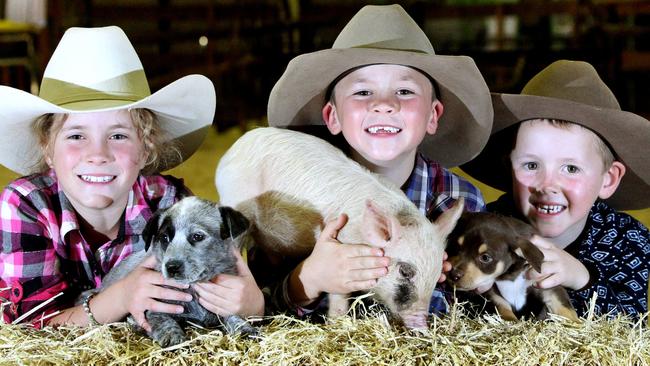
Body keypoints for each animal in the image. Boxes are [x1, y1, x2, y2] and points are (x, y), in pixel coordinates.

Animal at [446, 212, 576, 320]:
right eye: (456, 247)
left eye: (485, 258)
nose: (453, 275)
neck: (510, 276)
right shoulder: (492, 293)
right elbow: (503, 309)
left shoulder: (547, 285)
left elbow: (565, 308)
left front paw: (576, 324)